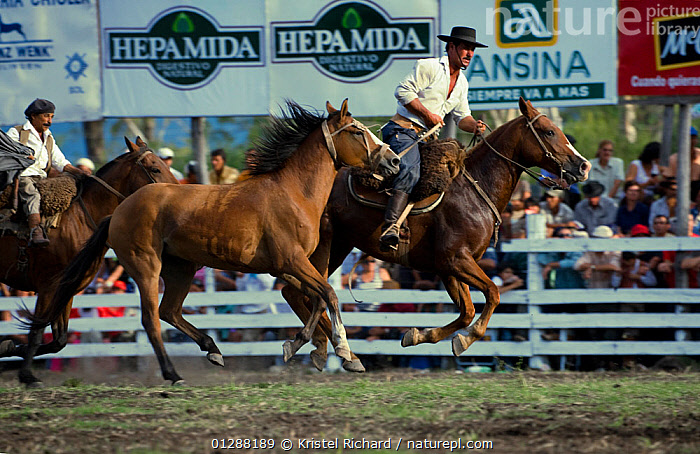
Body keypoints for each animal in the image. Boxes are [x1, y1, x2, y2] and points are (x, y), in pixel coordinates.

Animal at [0, 137, 178, 386]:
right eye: (154, 168)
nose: (177, 191)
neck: (79, 218)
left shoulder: (67, 289)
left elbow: (59, 340)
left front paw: (8, 349)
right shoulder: (48, 287)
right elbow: (37, 331)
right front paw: (27, 375)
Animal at [32, 99, 400, 385]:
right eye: (356, 131)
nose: (393, 160)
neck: (294, 193)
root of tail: (119, 210)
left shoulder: (290, 267)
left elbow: (316, 298)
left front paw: (313, 348)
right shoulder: (291, 261)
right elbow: (328, 294)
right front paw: (339, 350)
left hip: (181, 269)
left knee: (169, 311)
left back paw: (213, 349)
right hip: (146, 267)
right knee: (152, 319)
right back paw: (173, 373)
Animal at [280, 97, 591, 371]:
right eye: (549, 131)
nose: (583, 165)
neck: (475, 188)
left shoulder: (449, 268)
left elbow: (467, 310)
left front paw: (418, 335)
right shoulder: (455, 260)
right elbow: (493, 293)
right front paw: (465, 339)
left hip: (338, 247)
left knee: (298, 292)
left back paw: (327, 349)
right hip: (320, 248)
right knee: (309, 292)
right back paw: (332, 349)